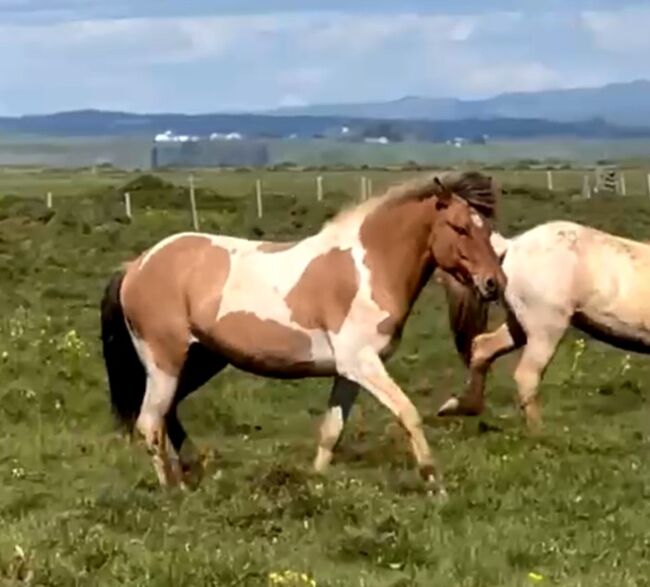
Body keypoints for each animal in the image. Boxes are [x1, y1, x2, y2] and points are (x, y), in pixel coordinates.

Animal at [100, 172, 506, 496]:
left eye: (486, 230)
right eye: (460, 228)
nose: (494, 284)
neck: (367, 269)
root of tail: (136, 265)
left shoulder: (349, 372)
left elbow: (331, 431)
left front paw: (316, 485)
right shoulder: (363, 364)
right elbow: (408, 413)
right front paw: (435, 483)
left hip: (201, 360)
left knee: (167, 414)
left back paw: (189, 474)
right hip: (164, 361)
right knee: (149, 422)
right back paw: (174, 491)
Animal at [437, 218, 650, 431]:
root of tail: (512, 245)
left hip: (519, 325)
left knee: (483, 347)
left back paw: (460, 407)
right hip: (545, 329)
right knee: (527, 375)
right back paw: (539, 431)